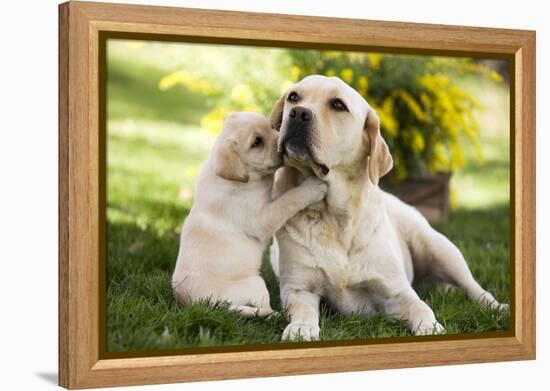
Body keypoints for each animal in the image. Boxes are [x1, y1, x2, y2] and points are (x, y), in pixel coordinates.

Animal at [172, 111, 328, 318]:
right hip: (256, 283)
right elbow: (288, 200)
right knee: (262, 306)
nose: (283, 143)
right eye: (256, 142)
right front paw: (312, 187)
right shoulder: (262, 219)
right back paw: (275, 314)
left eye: (271, 126)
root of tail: (196, 304)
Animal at [272, 76, 508, 340]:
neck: (334, 217)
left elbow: (421, 307)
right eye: (293, 97)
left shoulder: (396, 292)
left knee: (473, 286)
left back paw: (496, 306)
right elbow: (303, 309)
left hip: (438, 247)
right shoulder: (298, 288)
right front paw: (301, 327)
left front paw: (430, 327)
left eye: (337, 105)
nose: (298, 113)